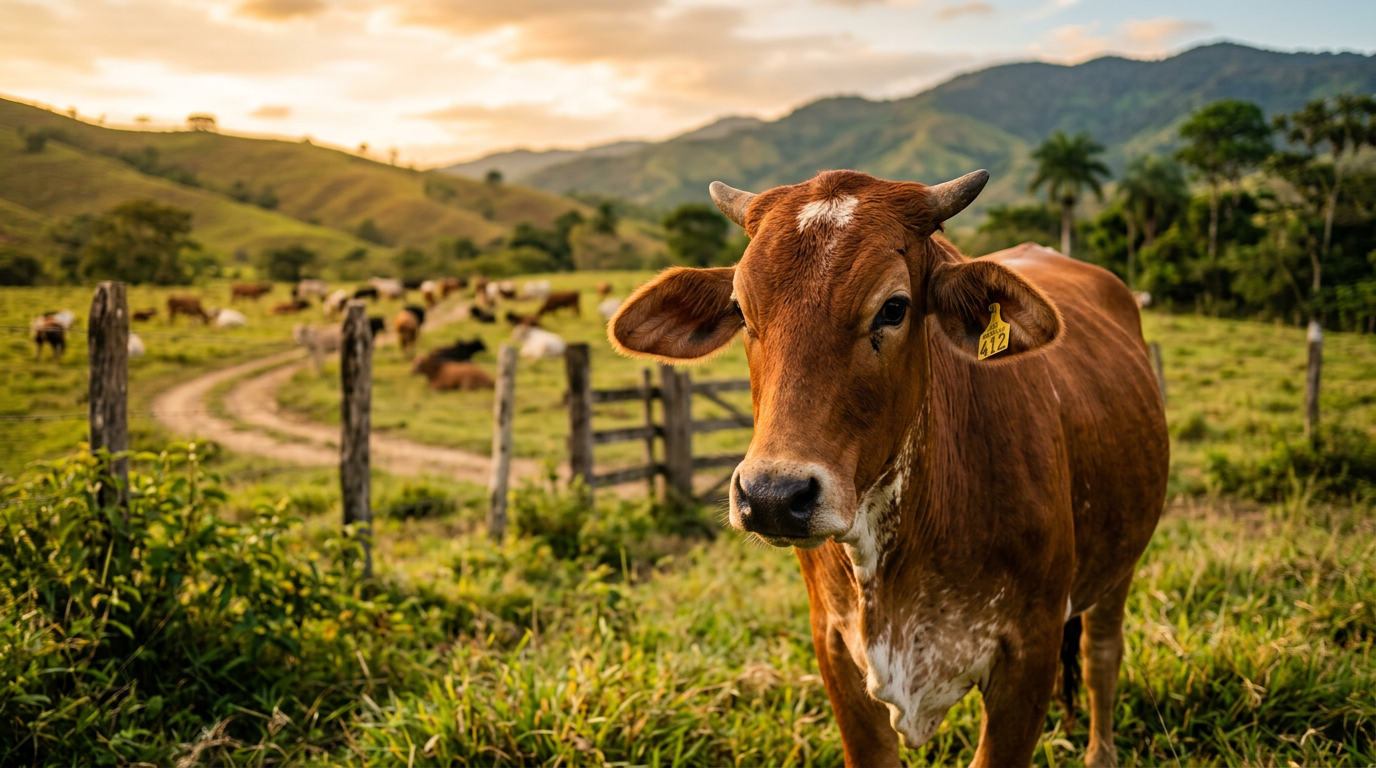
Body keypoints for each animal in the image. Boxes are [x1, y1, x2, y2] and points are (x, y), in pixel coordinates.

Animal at [607, 170, 1169, 768]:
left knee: (1100, 655)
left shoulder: (1029, 655)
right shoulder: (835, 649)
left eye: (894, 308)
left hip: (1119, 566)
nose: (773, 496)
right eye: (740, 310)